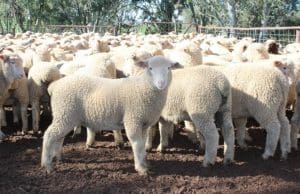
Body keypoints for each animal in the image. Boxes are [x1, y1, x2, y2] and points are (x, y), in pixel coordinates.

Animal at [40, 55, 177, 175]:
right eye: (150, 68)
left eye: (168, 68)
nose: (161, 83)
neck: (144, 87)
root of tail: (55, 86)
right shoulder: (133, 119)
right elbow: (137, 144)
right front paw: (141, 168)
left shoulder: (143, 123)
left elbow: (142, 144)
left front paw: (144, 163)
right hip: (65, 112)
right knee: (49, 135)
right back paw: (47, 165)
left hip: (65, 116)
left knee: (59, 136)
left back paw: (58, 157)